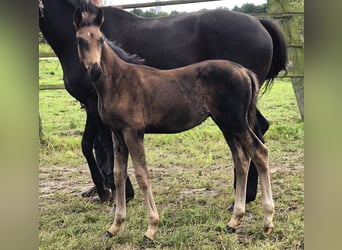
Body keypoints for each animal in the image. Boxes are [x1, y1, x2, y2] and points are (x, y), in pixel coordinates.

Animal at [38, 0, 288, 205]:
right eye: (81, 41)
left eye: (99, 41)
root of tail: (259, 22)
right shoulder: (93, 106)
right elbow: (92, 146)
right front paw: (104, 190)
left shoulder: (94, 105)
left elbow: (100, 148)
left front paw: (116, 192)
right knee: (258, 131)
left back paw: (246, 195)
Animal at [73, 7, 274, 240]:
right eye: (80, 40)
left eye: (101, 39)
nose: (95, 70)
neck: (119, 82)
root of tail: (244, 71)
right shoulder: (117, 133)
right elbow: (119, 174)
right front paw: (114, 226)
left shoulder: (133, 131)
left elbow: (142, 174)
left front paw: (151, 229)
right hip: (226, 125)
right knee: (241, 160)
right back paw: (234, 220)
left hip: (236, 123)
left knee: (260, 152)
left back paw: (268, 221)